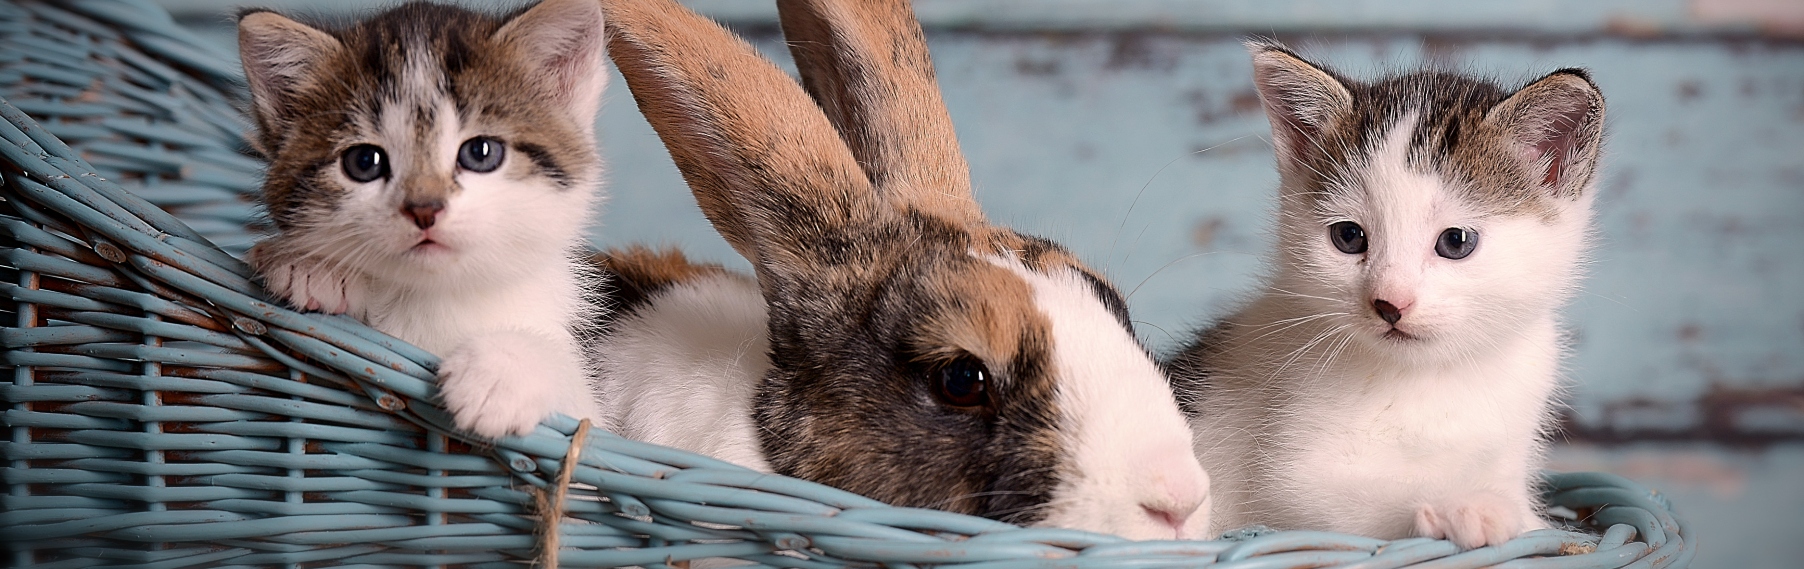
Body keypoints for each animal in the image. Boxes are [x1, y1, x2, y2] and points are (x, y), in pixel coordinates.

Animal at [238, 0, 613, 438]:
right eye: (364, 162)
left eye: (481, 153)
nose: (424, 209)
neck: (436, 296)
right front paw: (310, 264)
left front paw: (503, 372)